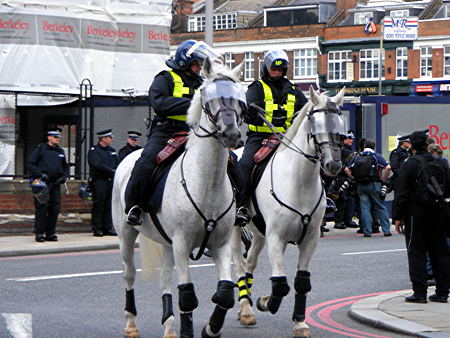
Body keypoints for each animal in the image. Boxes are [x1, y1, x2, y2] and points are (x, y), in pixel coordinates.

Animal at [112, 58, 246, 338]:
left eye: (239, 97)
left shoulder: (219, 244)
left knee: (164, 278)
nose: (231, 133)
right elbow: (187, 296)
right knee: (129, 275)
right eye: (207, 94)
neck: (205, 182)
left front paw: (210, 328)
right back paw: (131, 324)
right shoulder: (182, 243)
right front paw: (190, 330)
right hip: (126, 234)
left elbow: (225, 293)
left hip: (166, 242)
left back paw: (169, 326)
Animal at [232, 86, 344, 336]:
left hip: (259, 234)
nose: (333, 165)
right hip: (235, 229)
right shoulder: (276, 238)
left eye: (340, 125)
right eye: (315, 124)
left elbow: (301, 281)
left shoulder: (310, 239)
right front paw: (266, 302)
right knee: (239, 265)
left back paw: (245, 308)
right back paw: (246, 310)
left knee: (250, 264)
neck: (300, 182)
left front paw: (300, 323)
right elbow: (280, 285)